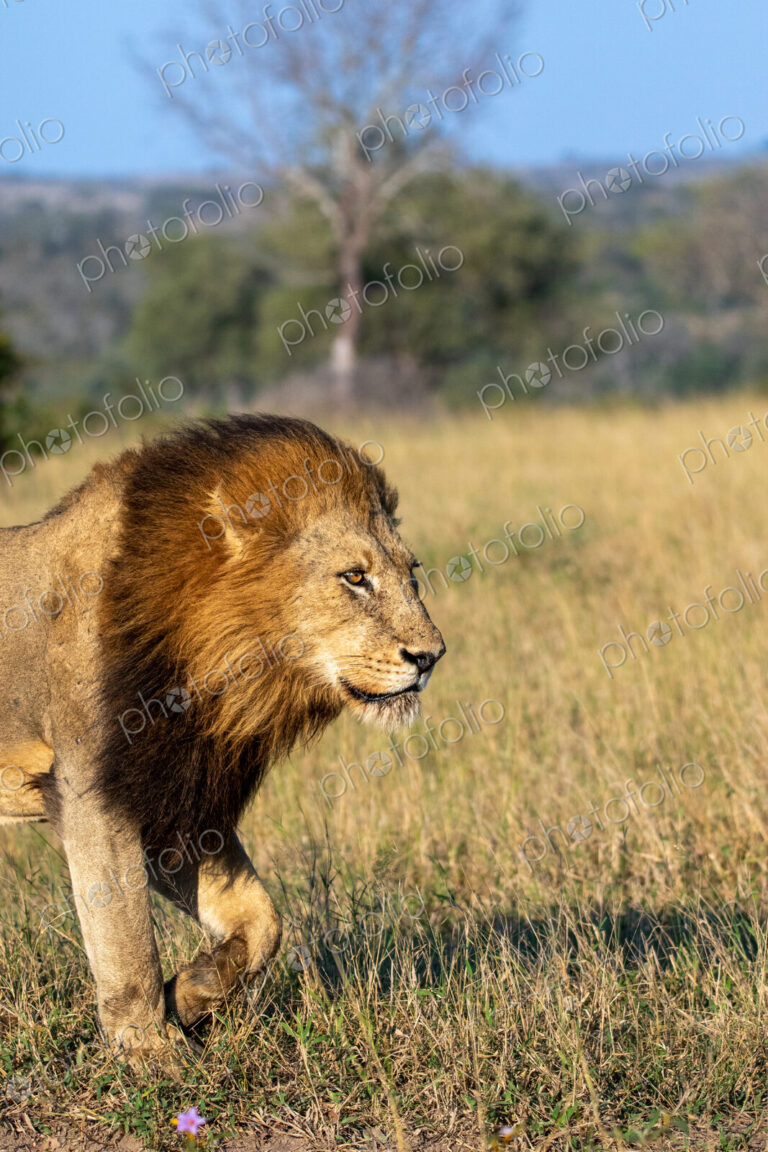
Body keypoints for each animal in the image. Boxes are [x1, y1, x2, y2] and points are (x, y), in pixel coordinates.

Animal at [0, 414, 444, 1059]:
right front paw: (154, 1055)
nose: (431, 656)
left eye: (411, 574)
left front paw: (190, 995)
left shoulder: (177, 801)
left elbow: (262, 921)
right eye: (355, 577)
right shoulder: (92, 794)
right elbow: (128, 944)